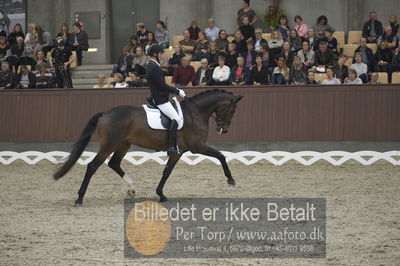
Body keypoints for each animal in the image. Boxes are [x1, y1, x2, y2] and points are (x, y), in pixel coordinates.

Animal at [52, 89, 242, 204]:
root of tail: (105, 113)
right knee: (92, 166)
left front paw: (161, 194)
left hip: (124, 145)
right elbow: (221, 155)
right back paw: (79, 197)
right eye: (232, 110)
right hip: (109, 145)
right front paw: (230, 179)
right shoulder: (197, 146)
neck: (195, 112)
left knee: (114, 164)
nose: (223, 129)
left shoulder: (178, 152)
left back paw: (131, 189)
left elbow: (167, 171)